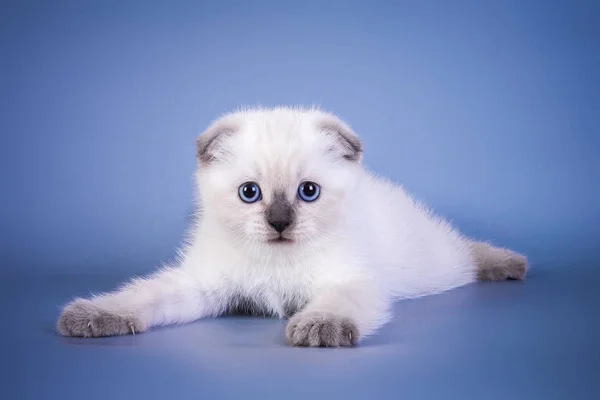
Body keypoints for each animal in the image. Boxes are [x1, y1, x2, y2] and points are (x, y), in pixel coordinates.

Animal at [55, 106, 524, 346]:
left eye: (308, 192)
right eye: (250, 193)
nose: (279, 222)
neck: (275, 263)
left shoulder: (351, 281)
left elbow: (334, 304)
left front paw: (319, 327)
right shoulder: (201, 285)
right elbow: (141, 297)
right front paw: (95, 316)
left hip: (436, 262)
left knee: (467, 253)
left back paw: (508, 264)